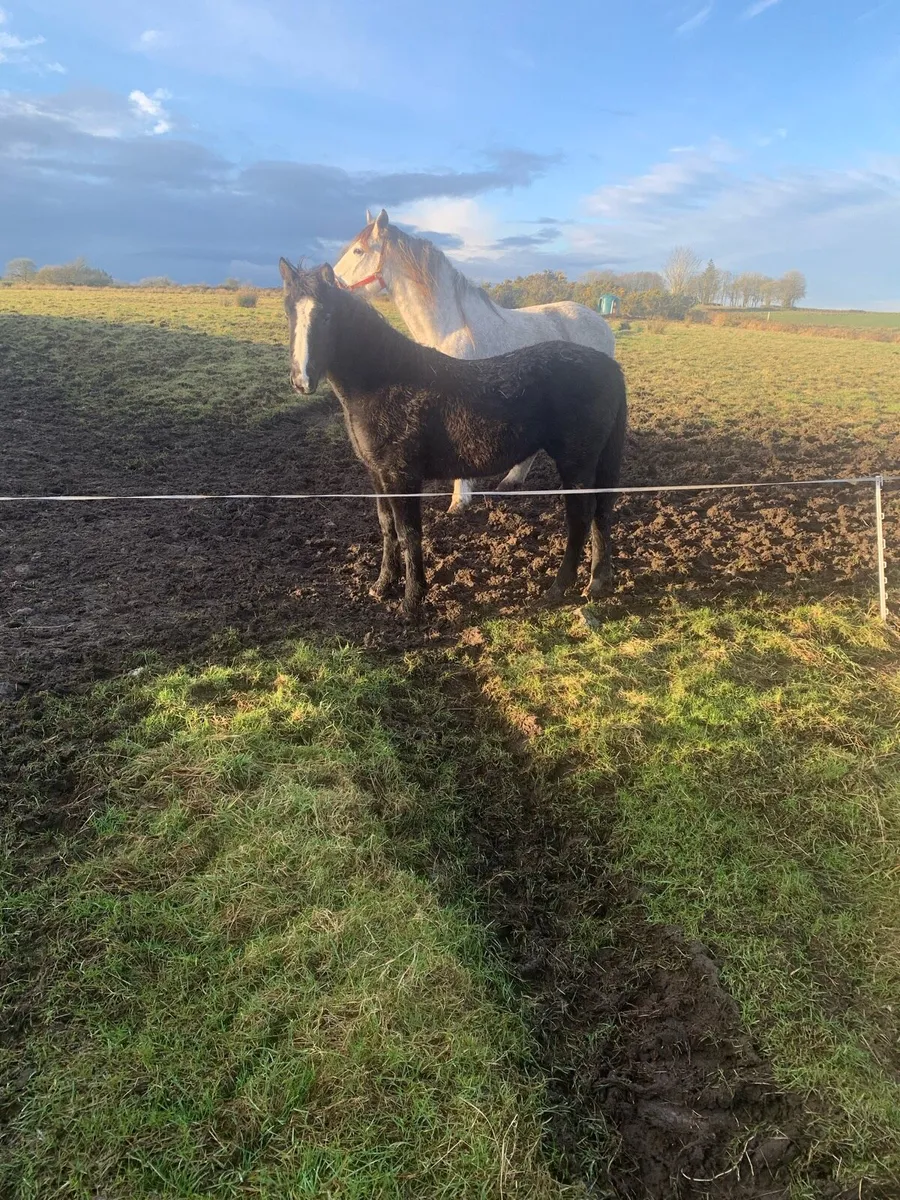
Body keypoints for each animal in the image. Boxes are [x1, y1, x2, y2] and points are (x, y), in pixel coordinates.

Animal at [280, 258, 627, 619]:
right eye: (289, 311)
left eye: (327, 315)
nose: (301, 381)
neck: (386, 381)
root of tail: (610, 366)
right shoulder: (378, 474)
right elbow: (387, 527)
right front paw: (382, 585)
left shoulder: (402, 476)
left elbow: (408, 533)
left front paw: (411, 601)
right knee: (602, 511)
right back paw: (598, 582)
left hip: (576, 462)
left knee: (581, 517)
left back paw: (558, 588)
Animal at [333, 209, 616, 514]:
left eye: (358, 250)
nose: (331, 284)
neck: (450, 327)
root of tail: (602, 324)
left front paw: (459, 502)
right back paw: (510, 481)